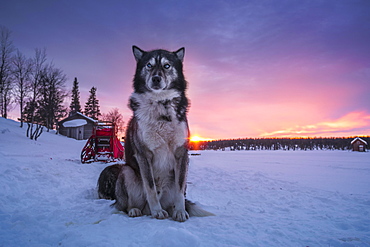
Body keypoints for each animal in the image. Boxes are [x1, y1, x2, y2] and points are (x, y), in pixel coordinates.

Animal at [98, 46, 212, 222]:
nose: (156, 79)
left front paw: (180, 211)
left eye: (167, 65)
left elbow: (180, 190)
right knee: (126, 205)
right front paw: (157, 211)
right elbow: (150, 187)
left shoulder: (181, 154)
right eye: (149, 65)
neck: (161, 106)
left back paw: (171, 210)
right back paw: (135, 210)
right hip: (127, 172)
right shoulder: (144, 155)